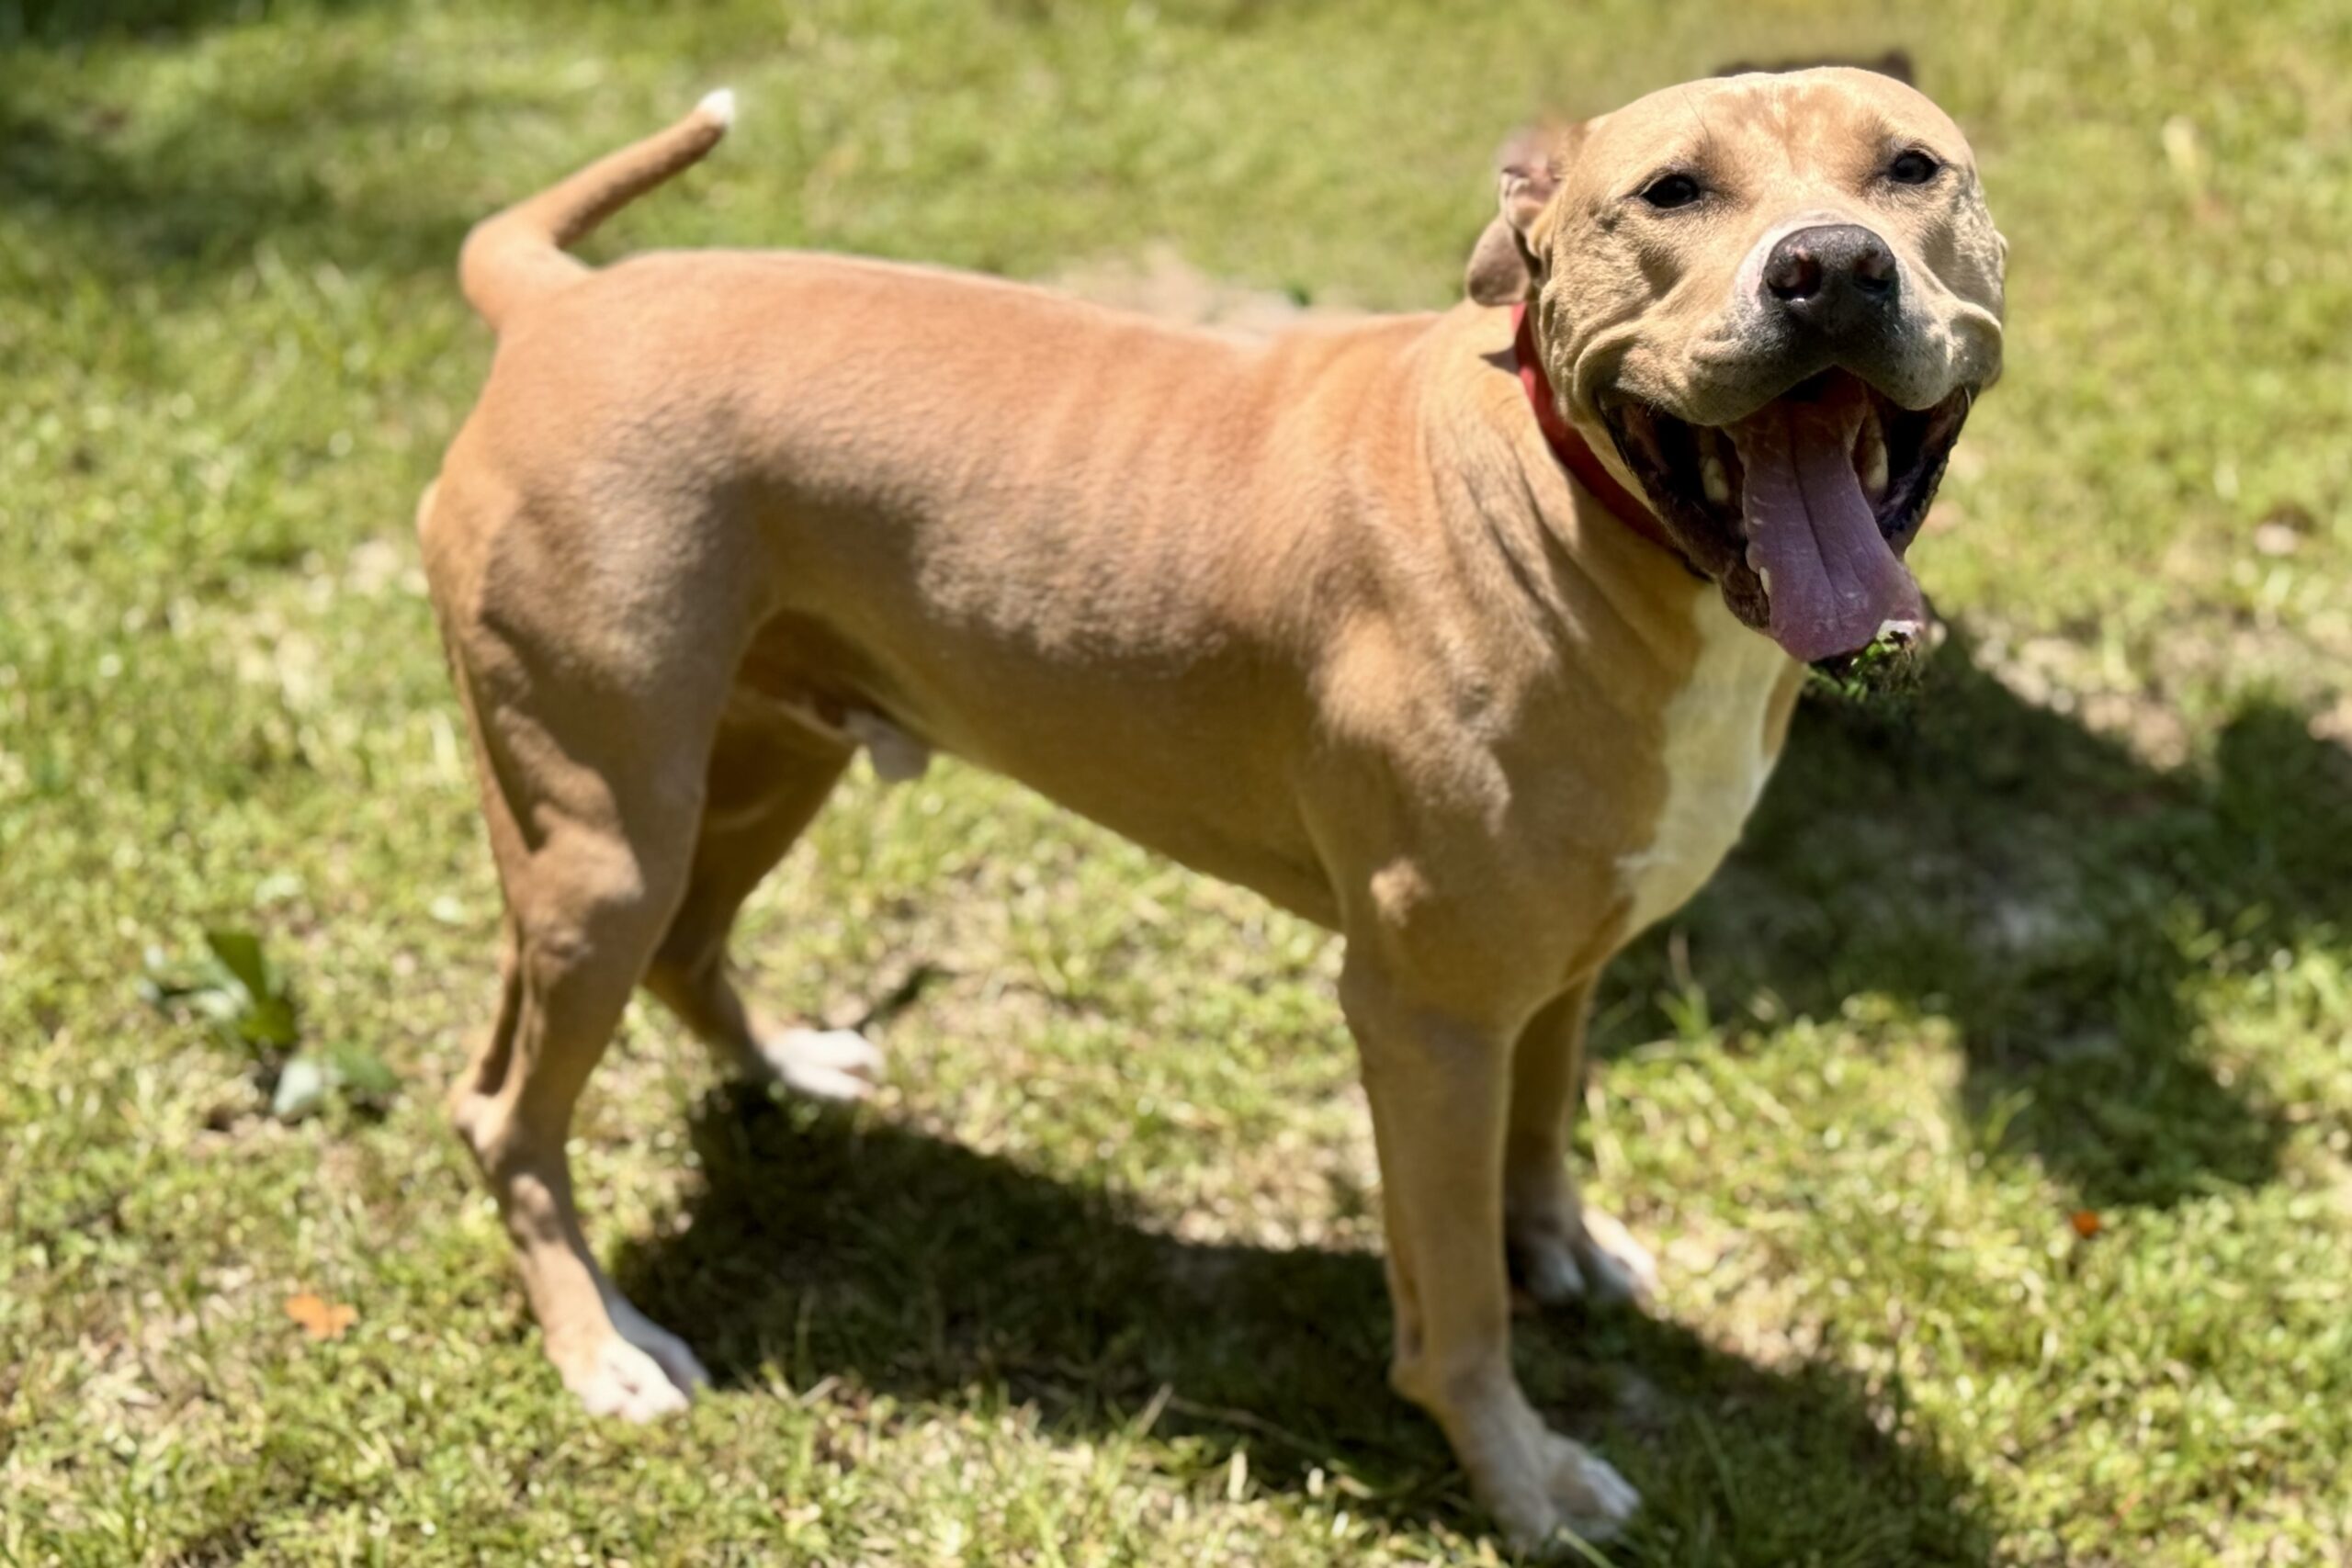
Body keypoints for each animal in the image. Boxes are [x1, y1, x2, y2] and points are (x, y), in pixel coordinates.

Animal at [418, 67, 2003, 1548]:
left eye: (1912, 168)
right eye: (1672, 190)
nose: (1831, 266)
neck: (1583, 512)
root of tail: (558, 301)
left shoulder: (1567, 955)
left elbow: (1547, 1122)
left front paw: (1561, 1246)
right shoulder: (1426, 1018)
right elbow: (1459, 1303)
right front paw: (1522, 1473)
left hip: (760, 763)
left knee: (686, 952)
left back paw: (792, 1064)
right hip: (602, 842)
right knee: (504, 1106)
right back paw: (601, 1344)